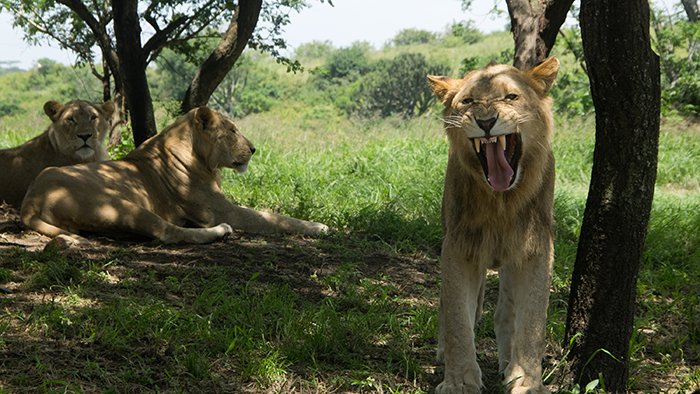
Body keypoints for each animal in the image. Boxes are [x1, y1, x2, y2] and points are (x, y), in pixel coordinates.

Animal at [21, 106, 328, 245]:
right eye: (232, 130)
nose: (253, 149)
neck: (202, 159)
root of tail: (32, 197)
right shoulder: (222, 210)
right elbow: (274, 218)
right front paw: (318, 226)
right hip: (121, 205)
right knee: (167, 232)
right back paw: (220, 231)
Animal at [424, 56, 560, 394]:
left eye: (511, 97)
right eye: (468, 102)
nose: (486, 122)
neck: (502, 201)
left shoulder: (536, 248)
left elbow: (533, 319)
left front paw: (527, 381)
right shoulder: (458, 246)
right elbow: (457, 317)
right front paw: (458, 380)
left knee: (505, 312)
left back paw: (506, 361)